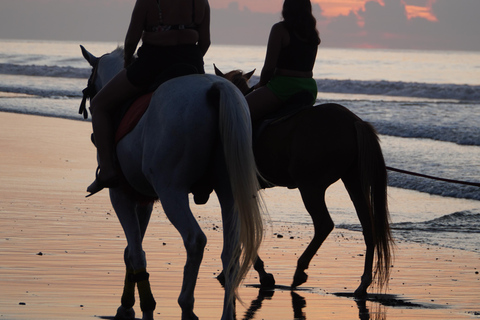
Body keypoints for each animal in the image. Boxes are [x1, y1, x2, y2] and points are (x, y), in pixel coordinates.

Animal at [80, 45, 264, 320]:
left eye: (91, 91)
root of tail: (214, 89)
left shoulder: (121, 195)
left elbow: (136, 253)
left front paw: (141, 304)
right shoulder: (142, 199)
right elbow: (131, 251)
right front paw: (128, 305)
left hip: (172, 193)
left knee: (195, 240)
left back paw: (187, 304)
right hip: (228, 193)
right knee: (231, 252)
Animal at [215, 65, 394, 298]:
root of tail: (353, 121)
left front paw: (258, 272)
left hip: (310, 187)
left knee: (324, 224)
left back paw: (300, 271)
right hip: (352, 182)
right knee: (367, 226)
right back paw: (362, 284)